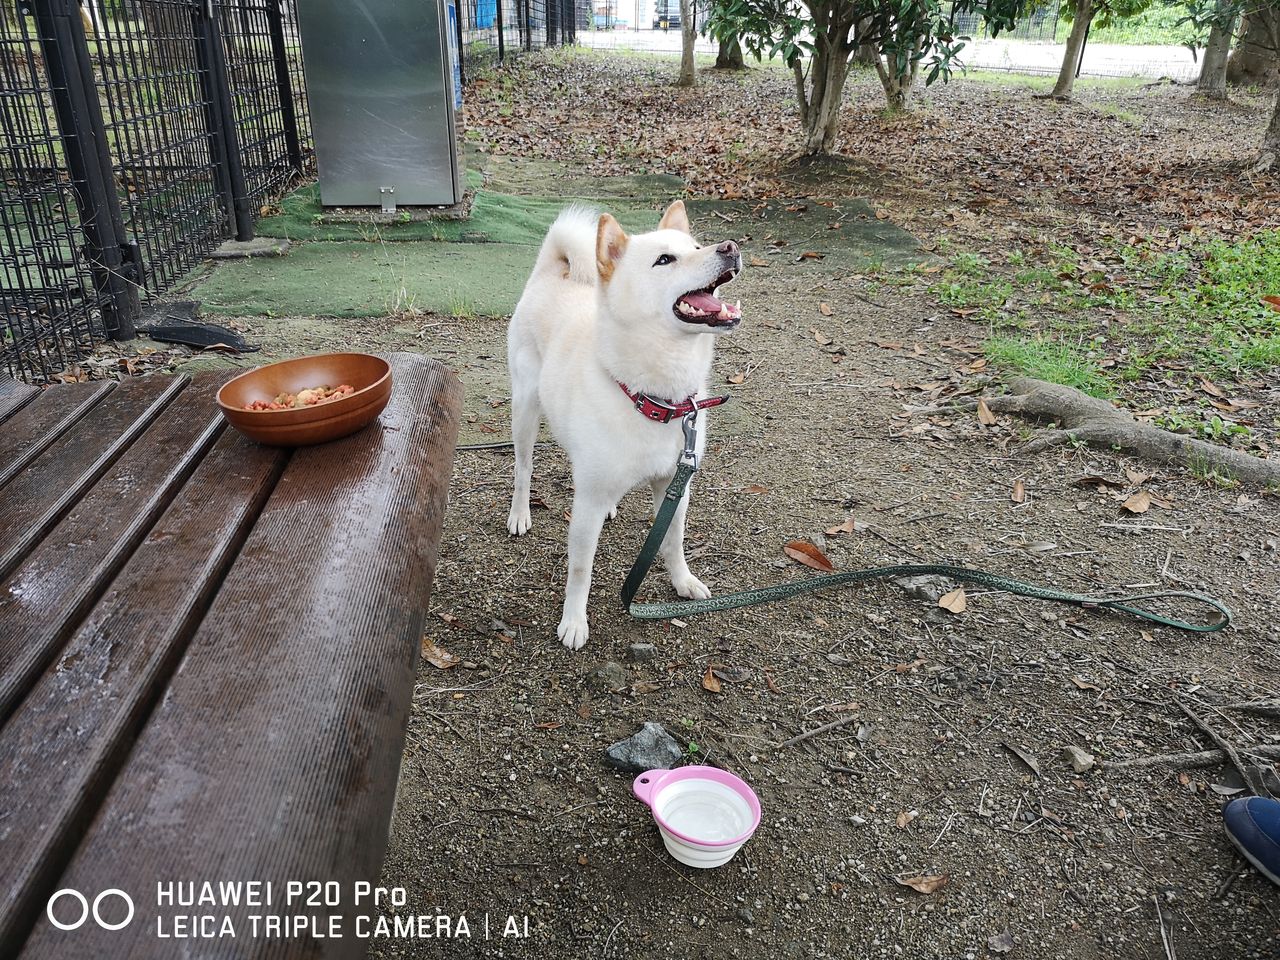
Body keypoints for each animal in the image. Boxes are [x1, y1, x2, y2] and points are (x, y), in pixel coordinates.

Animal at [506, 203, 747, 655]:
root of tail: (552, 274)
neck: (656, 399)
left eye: (696, 246)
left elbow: (673, 541)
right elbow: (580, 570)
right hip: (525, 411)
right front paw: (574, 621)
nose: (730, 246)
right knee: (523, 470)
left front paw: (683, 581)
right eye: (665, 260)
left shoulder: (675, 484)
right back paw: (519, 513)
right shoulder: (585, 507)